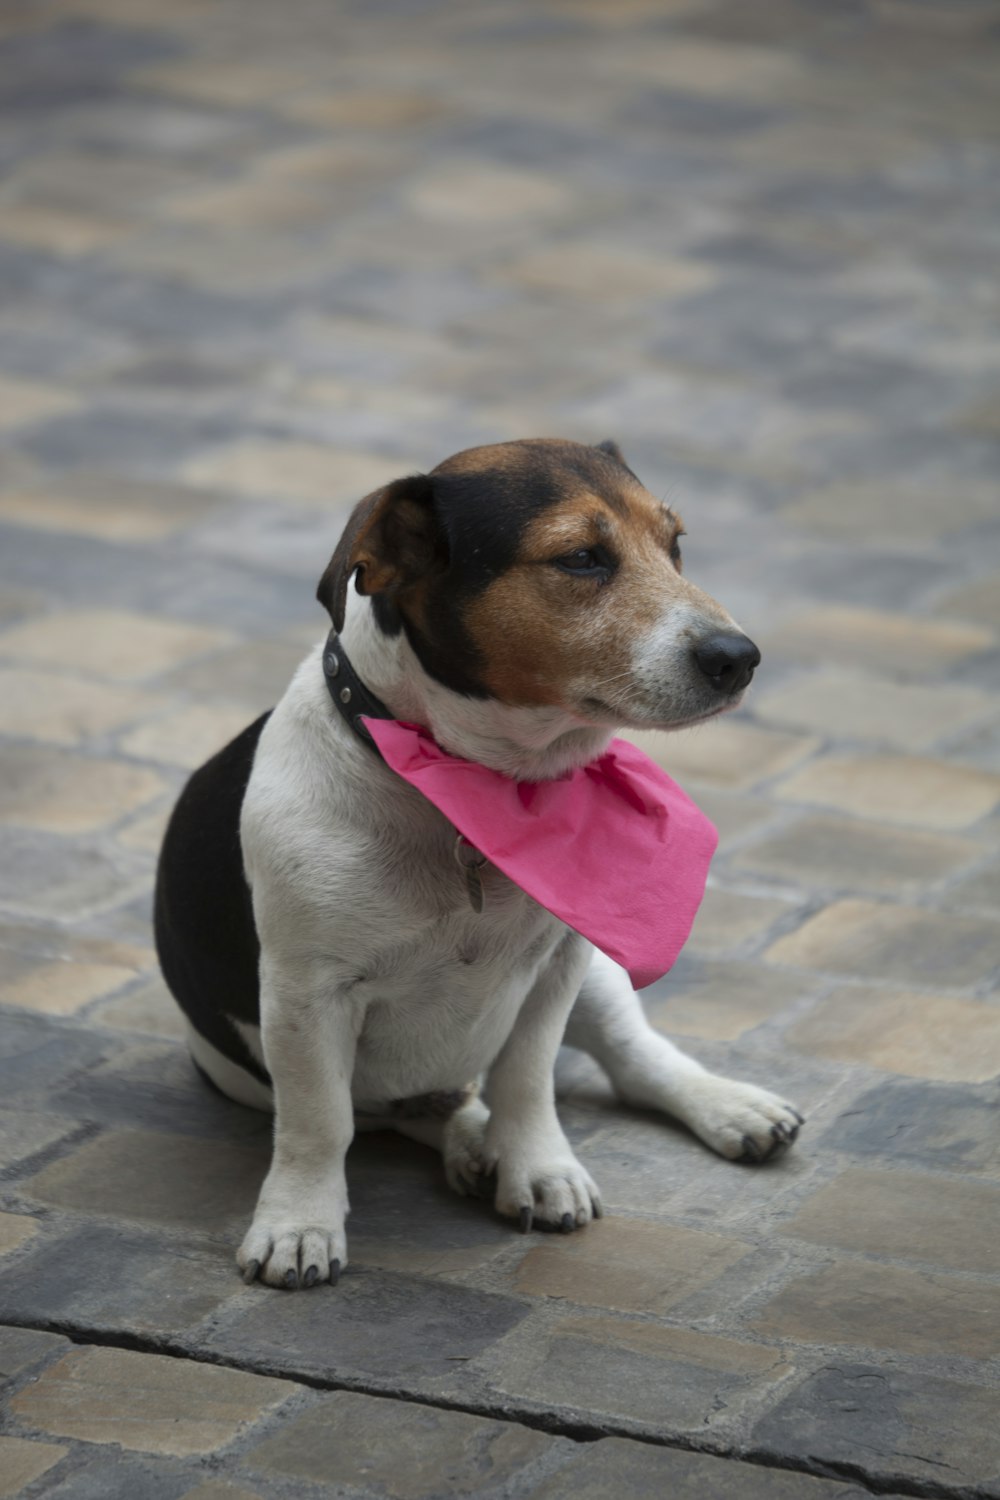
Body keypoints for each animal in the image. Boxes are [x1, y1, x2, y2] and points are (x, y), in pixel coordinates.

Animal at [156, 438, 803, 1290]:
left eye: (675, 547)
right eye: (581, 558)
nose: (741, 657)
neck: (477, 790)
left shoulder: (557, 964)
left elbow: (527, 1080)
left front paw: (538, 1167)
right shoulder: (304, 996)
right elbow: (319, 1124)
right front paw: (298, 1226)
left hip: (599, 976)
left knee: (630, 1057)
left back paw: (729, 1108)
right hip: (247, 1071)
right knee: (421, 1107)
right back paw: (466, 1143)